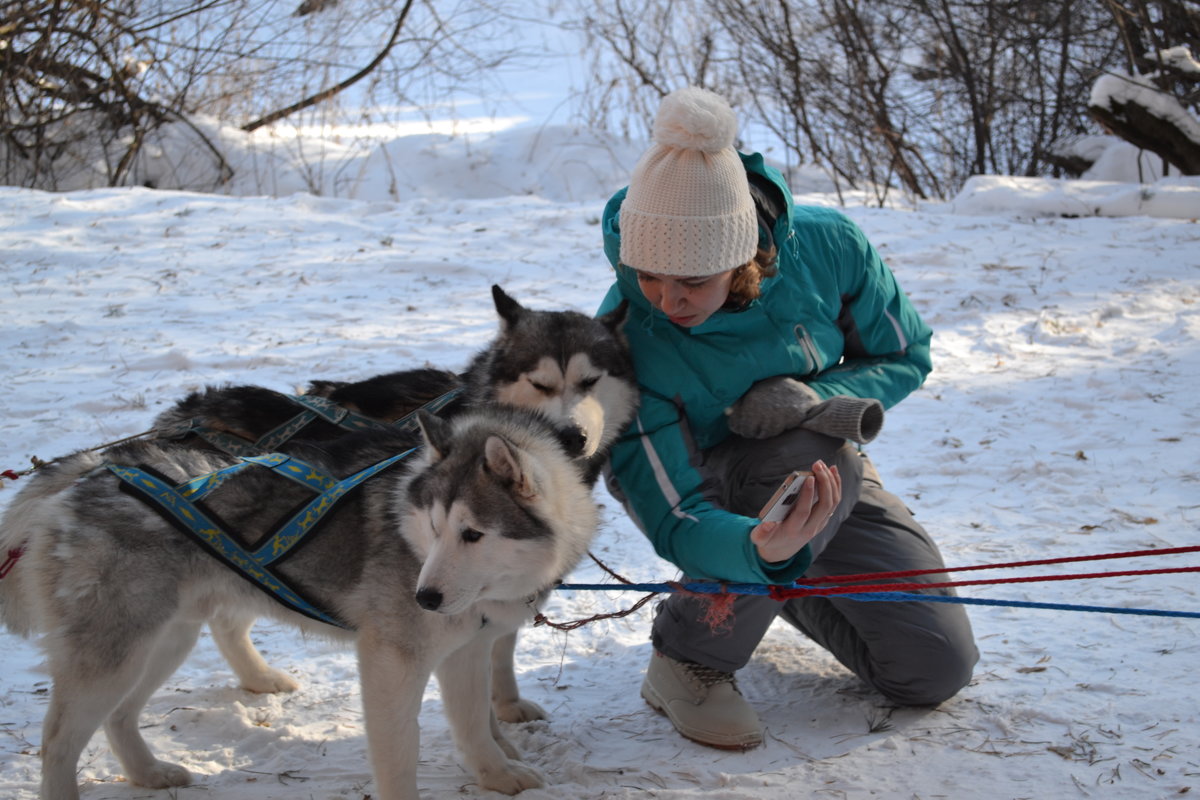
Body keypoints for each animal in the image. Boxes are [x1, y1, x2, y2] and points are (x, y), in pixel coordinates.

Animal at [0, 410, 597, 796]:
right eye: (433, 528)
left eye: (472, 534)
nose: (424, 597)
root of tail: (96, 469)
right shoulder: (392, 660)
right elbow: (400, 751)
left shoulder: (465, 652)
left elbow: (473, 725)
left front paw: (497, 775)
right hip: (117, 651)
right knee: (58, 742)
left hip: (163, 640)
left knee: (120, 716)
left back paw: (149, 774)